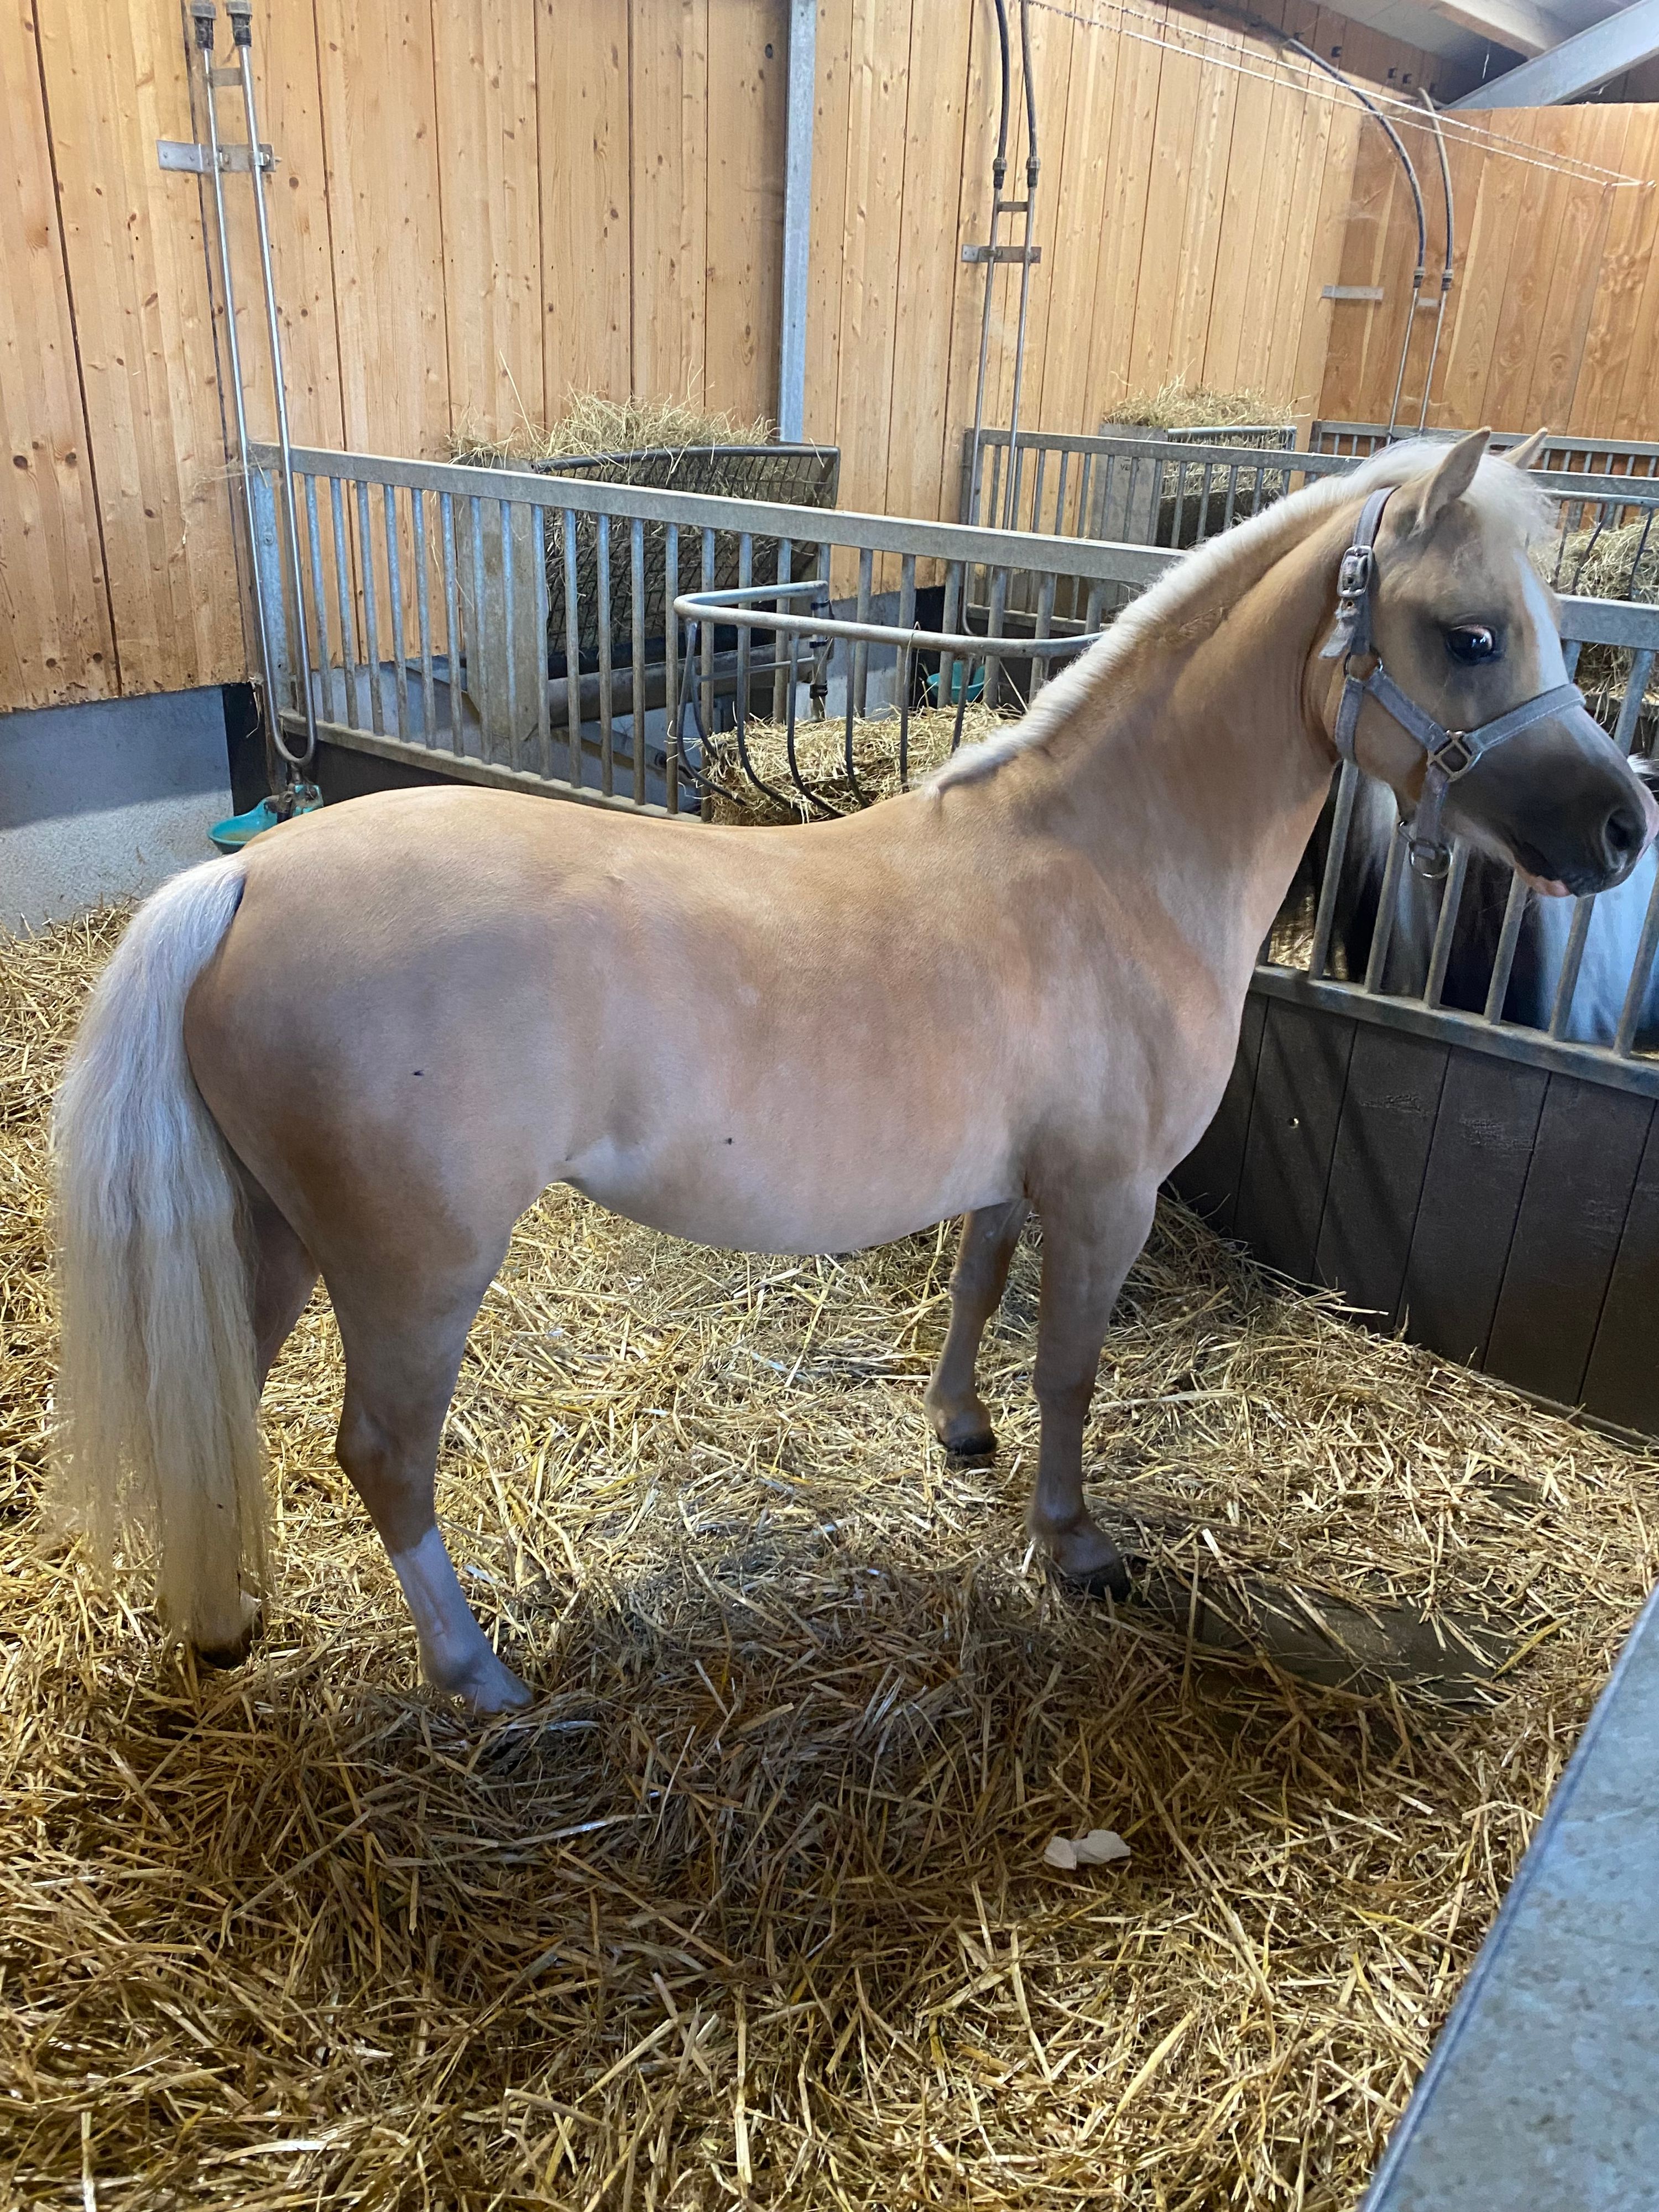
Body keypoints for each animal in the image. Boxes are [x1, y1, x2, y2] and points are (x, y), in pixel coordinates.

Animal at [53, 429, 1657, 1713]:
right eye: (1468, 635)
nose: (1622, 828)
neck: (1107, 865)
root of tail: (245, 883)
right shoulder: (1108, 1196)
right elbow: (1071, 1368)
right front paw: (1074, 1543)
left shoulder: (1016, 1175)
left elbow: (978, 1289)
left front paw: (959, 1431)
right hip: (412, 1275)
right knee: (381, 1454)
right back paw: (475, 1675)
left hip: (271, 1237)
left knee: (225, 1397)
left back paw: (225, 1617)